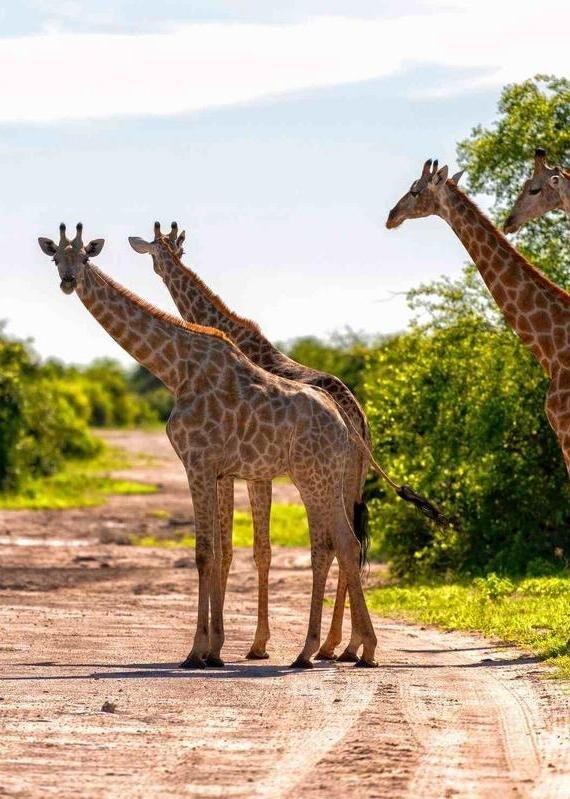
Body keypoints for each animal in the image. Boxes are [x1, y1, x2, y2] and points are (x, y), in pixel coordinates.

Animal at [38, 223, 379, 669]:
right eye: (55, 258)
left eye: (84, 257)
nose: (68, 281)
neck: (175, 368)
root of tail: (348, 424)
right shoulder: (221, 470)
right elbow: (220, 552)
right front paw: (215, 649)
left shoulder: (198, 463)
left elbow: (206, 553)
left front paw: (198, 651)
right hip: (329, 480)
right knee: (345, 543)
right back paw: (348, 648)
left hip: (314, 478)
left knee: (338, 544)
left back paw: (327, 649)